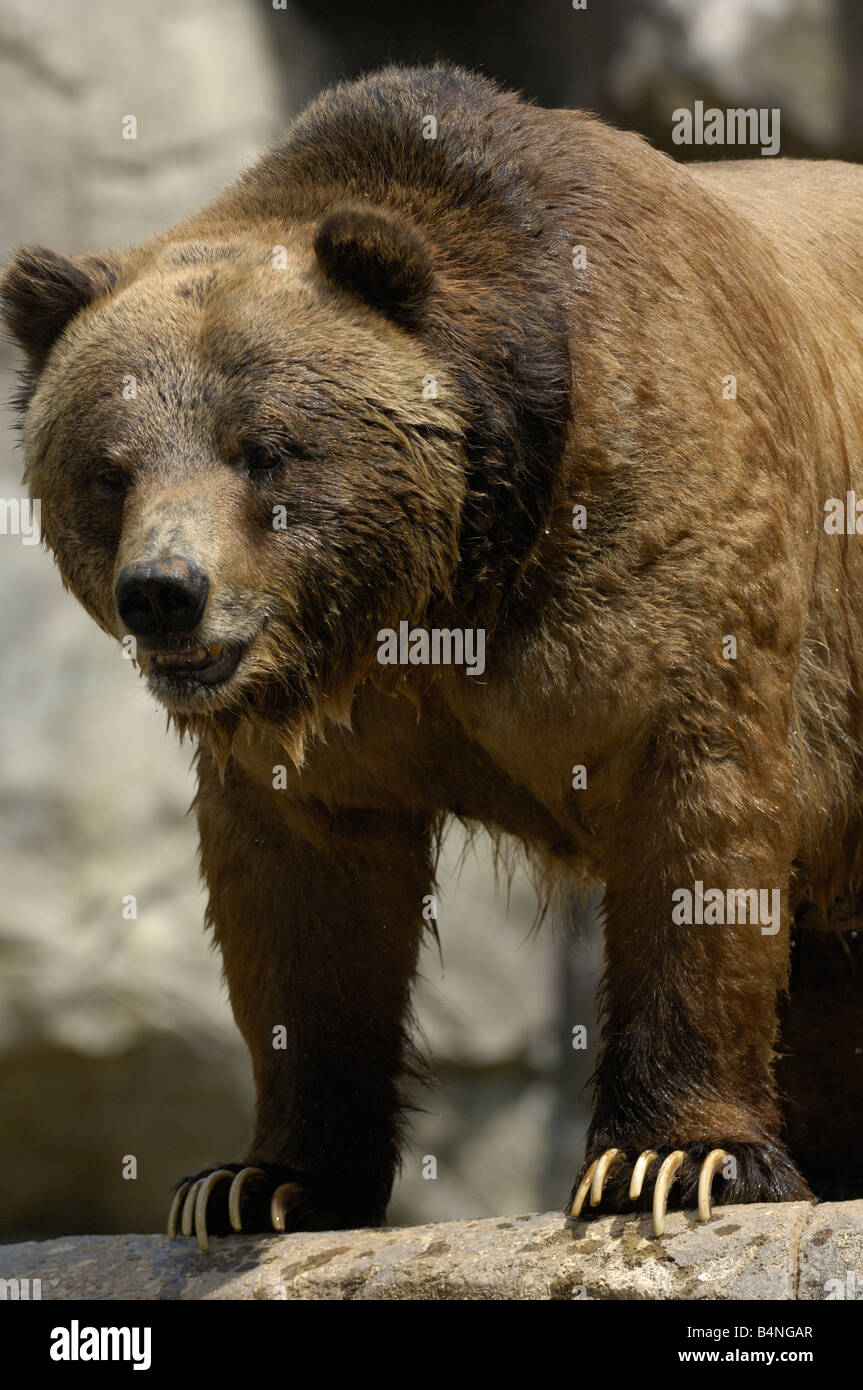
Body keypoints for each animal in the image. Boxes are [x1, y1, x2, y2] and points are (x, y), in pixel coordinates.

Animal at [3, 63, 863, 1251]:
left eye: (263, 450)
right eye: (107, 469)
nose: (166, 593)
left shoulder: (666, 562)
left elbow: (695, 826)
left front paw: (673, 1158)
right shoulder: (334, 733)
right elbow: (302, 908)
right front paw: (255, 1180)